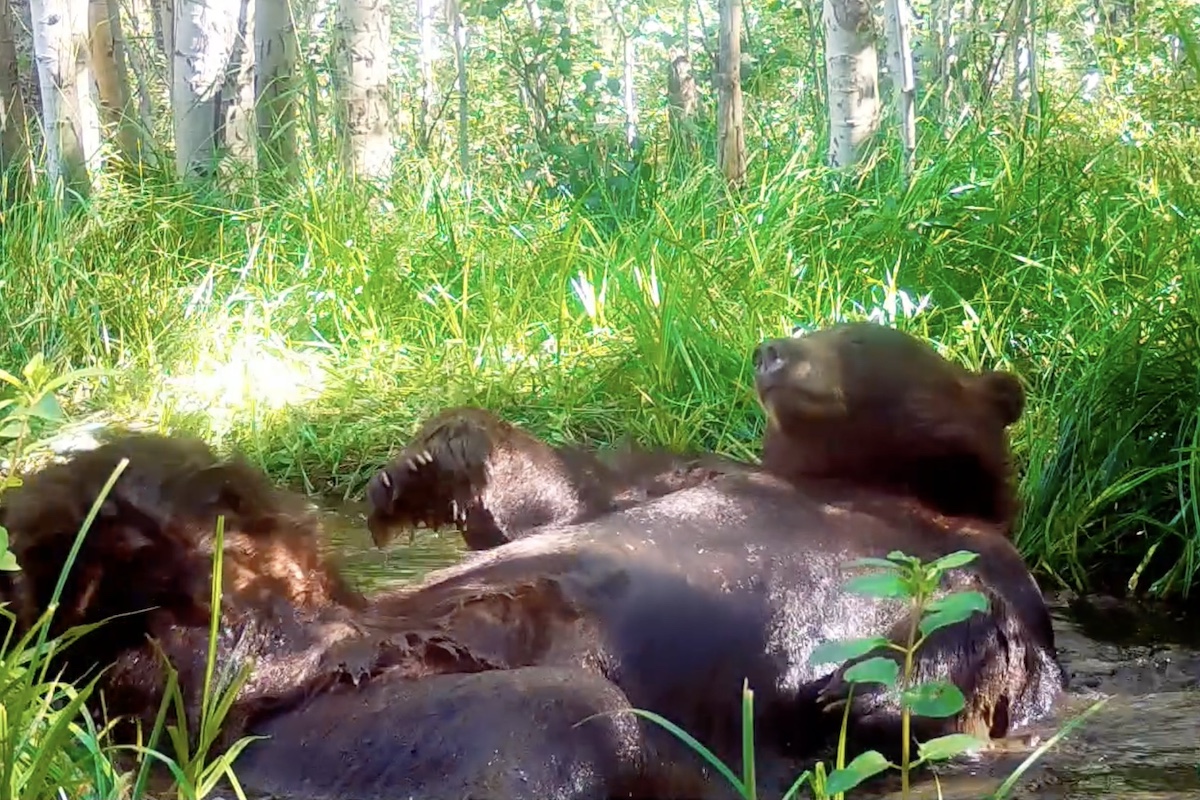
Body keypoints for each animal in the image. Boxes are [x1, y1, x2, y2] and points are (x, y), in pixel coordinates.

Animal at [355, 321, 1063, 792]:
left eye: (860, 335)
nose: (771, 349)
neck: (870, 479)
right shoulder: (691, 475)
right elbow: (553, 498)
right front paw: (423, 463)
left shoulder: (979, 559)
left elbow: (999, 649)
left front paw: (865, 693)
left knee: (563, 725)